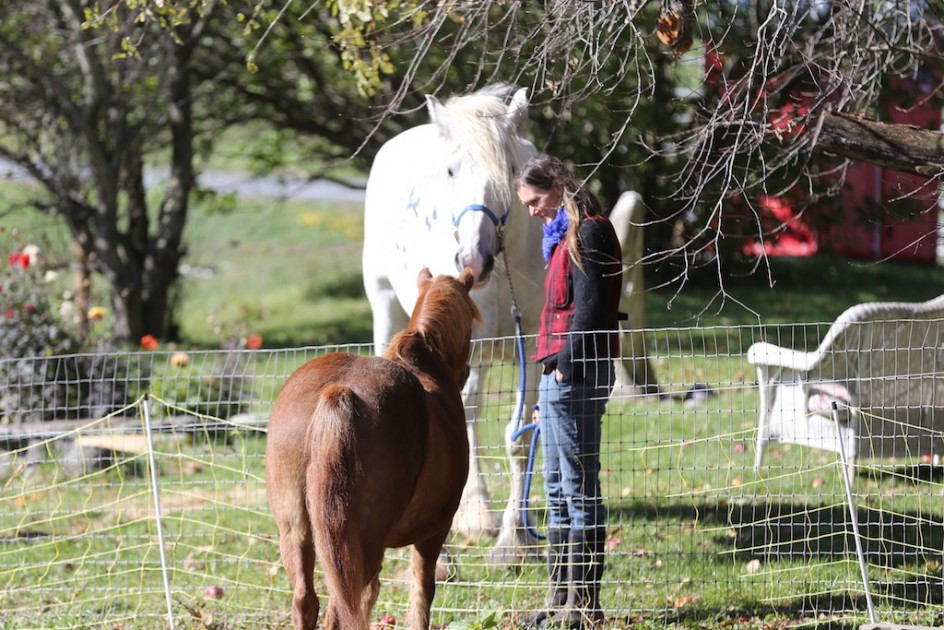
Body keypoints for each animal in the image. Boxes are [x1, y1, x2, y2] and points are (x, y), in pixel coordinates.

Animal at [266, 268, 480, 630]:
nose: (465, 373)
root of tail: (337, 392)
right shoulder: (435, 533)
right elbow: (422, 593)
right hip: (362, 547)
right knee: (341, 609)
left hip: (297, 533)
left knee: (307, 602)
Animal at [366, 85, 548, 568]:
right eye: (450, 171)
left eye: (510, 169)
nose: (472, 259)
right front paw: (440, 556)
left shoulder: (532, 350)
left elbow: (518, 439)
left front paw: (512, 543)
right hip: (384, 307)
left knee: (470, 412)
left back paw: (477, 514)